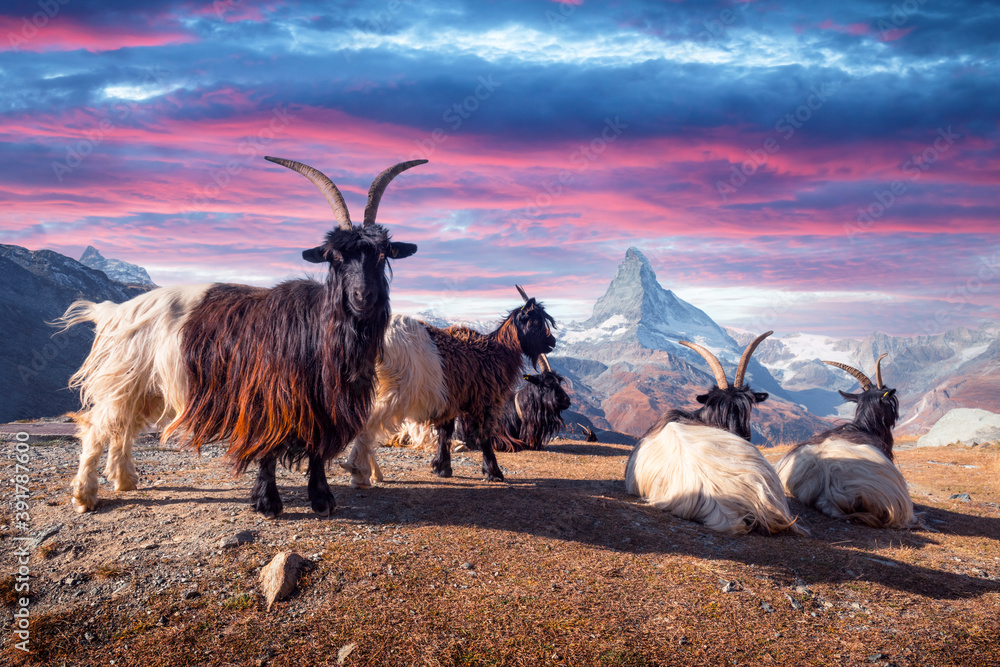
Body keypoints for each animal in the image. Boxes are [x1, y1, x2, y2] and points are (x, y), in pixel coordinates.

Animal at [57, 155, 426, 516]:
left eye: (382, 254)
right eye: (335, 256)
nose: (363, 297)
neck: (318, 330)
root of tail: (114, 311)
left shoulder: (320, 404)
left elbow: (317, 449)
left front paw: (322, 499)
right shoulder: (268, 397)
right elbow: (268, 449)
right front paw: (267, 502)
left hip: (146, 387)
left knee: (122, 429)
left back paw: (124, 480)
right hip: (124, 379)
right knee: (97, 428)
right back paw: (85, 495)